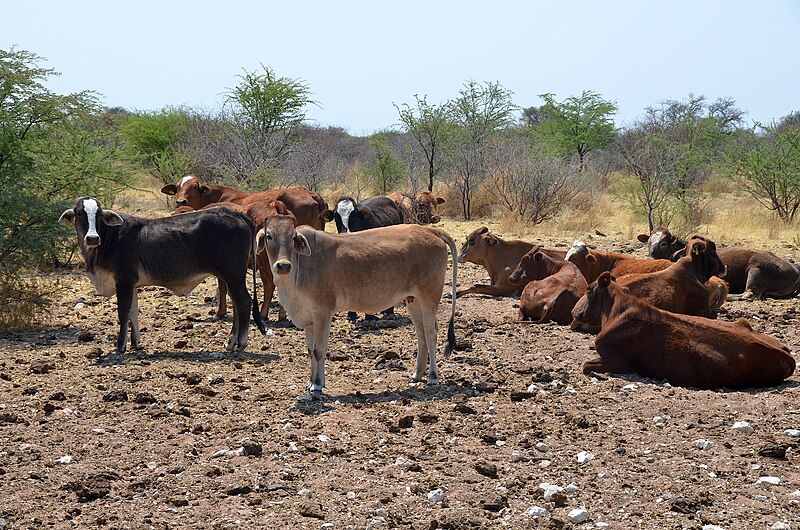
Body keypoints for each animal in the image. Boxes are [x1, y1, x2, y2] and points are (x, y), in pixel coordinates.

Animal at [60, 196, 266, 352]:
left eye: (99, 214)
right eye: (79, 213)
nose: (92, 238)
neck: (110, 238)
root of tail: (237, 214)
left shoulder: (124, 281)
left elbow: (123, 312)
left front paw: (120, 346)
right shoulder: (132, 284)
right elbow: (133, 313)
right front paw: (135, 343)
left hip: (233, 275)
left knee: (244, 302)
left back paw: (241, 343)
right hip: (230, 277)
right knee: (237, 304)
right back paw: (231, 342)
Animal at [256, 213, 456, 392]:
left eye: (292, 237)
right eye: (269, 236)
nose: (283, 265)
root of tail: (429, 230)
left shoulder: (322, 313)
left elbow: (319, 349)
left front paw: (318, 384)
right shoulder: (308, 318)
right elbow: (311, 350)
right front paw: (311, 381)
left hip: (429, 298)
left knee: (431, 334)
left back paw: (433, 377)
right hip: (413, 300)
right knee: (421, 335)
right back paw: (417, 374)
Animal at [572, 272, 796, 388]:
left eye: (588, 290)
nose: (575, 312)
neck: (616, 309)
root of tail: (787, 355)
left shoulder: (617, 362)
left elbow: (585, 366)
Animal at [636, 227, 800, 300]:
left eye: (663, 243)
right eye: (649, 242)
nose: (650, 258)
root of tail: (795, 269)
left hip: (755, 269)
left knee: (749, 294)